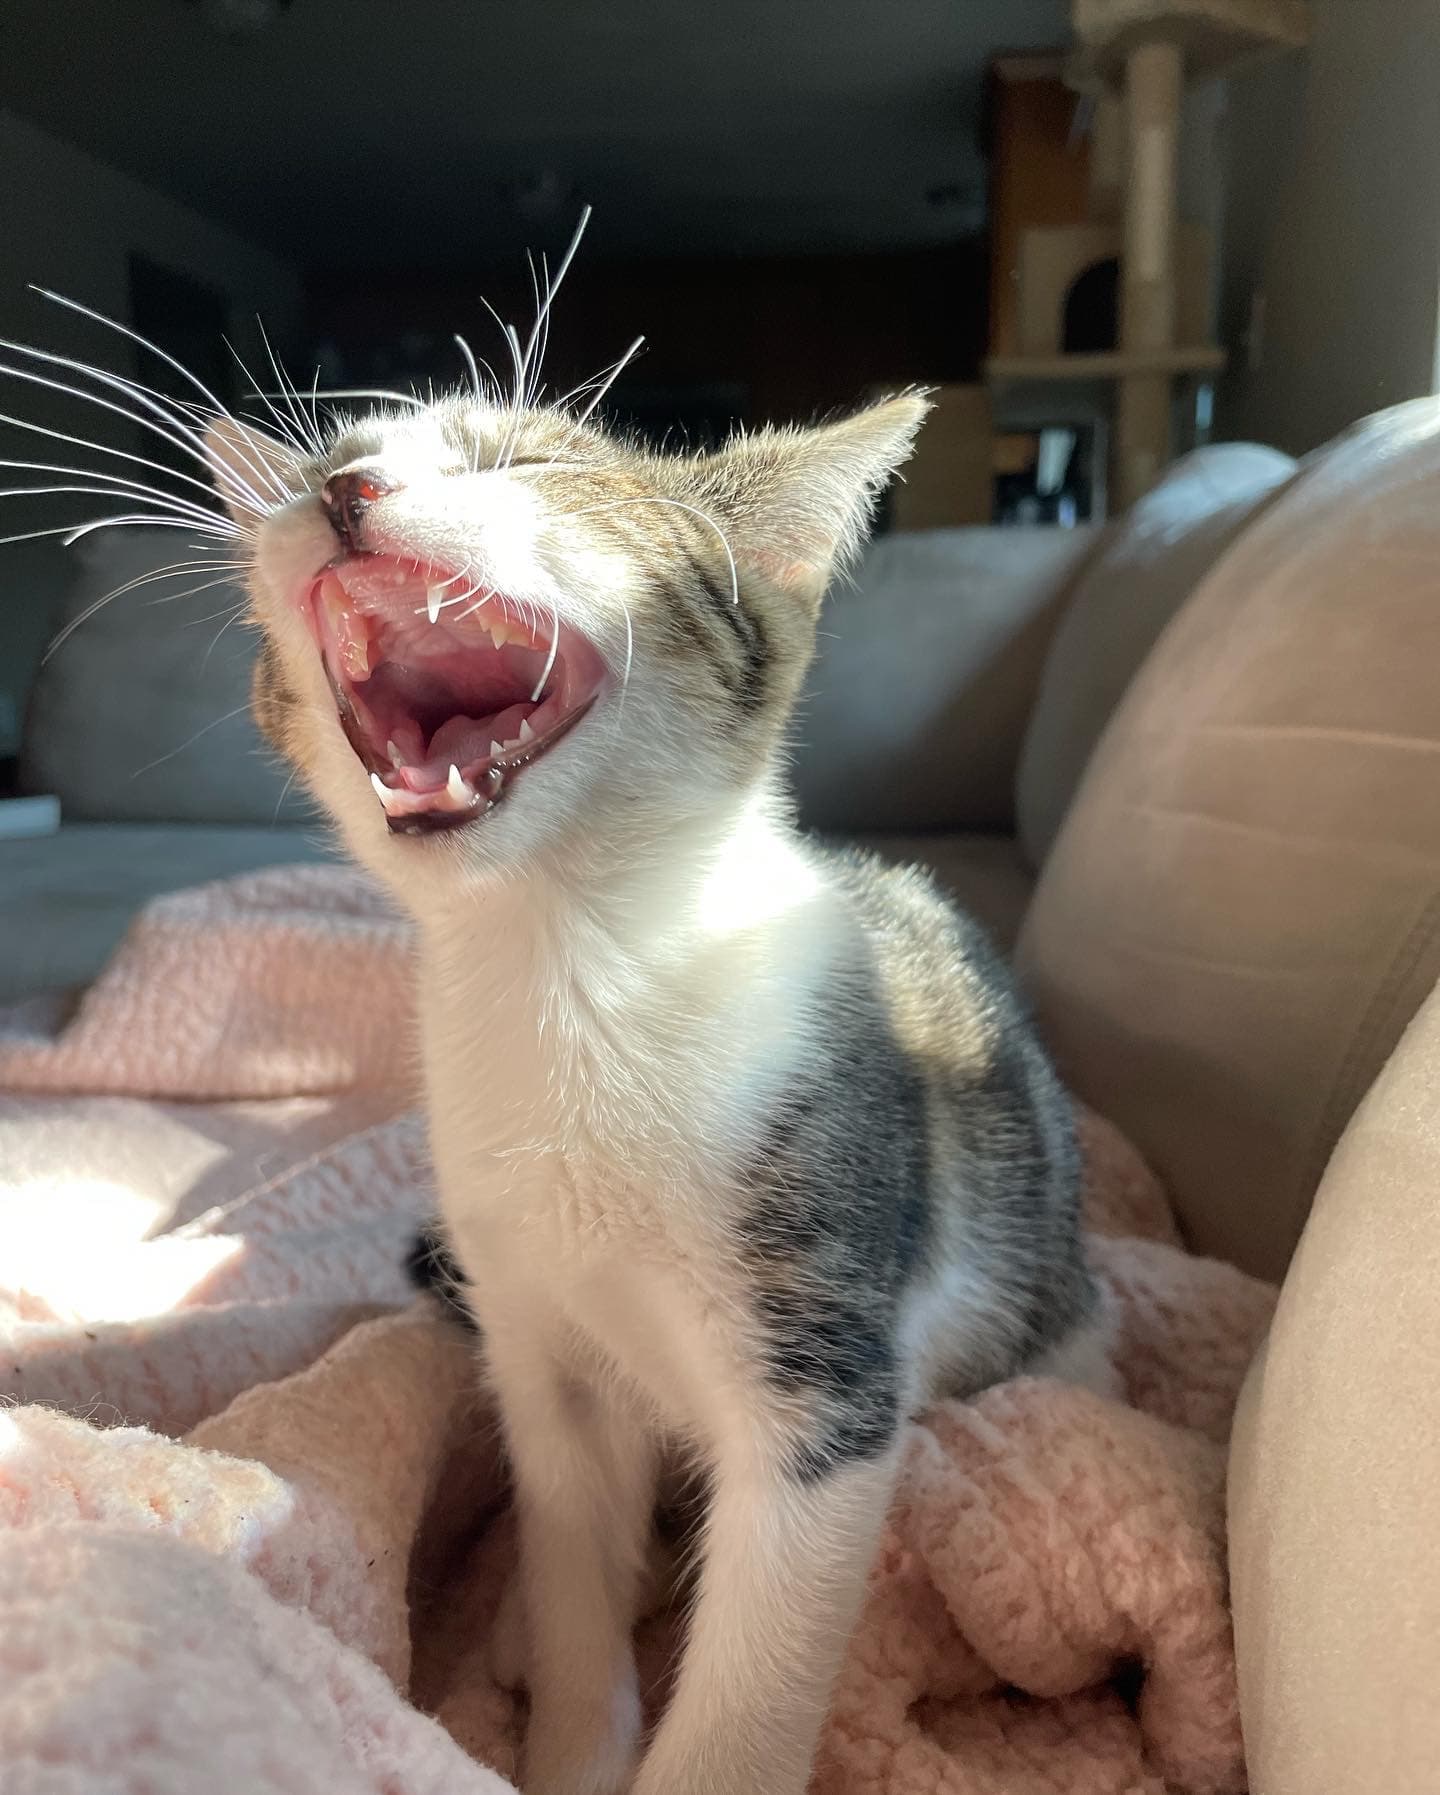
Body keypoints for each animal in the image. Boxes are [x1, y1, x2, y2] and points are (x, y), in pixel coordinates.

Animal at [204, 382, 1098, 1795]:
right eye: (323, 467)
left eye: (526, 458)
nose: (343, 491)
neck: (568, 970)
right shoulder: (533, 1341)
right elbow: (570, 1542)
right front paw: (572, 1731)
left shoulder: (827, 1380)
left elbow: (749, 1684)